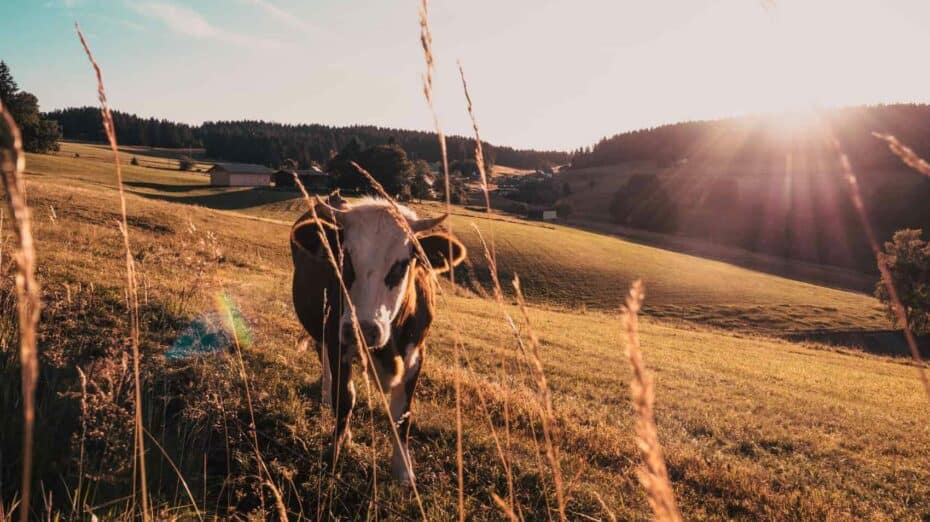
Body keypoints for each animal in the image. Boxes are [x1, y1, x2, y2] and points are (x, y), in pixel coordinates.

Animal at [290, 194, 466, 485]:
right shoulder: (338, 342)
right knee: (323, 360)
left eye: (404, 263)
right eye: (344, 258)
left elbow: (402, 415)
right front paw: (335, 454)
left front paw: (403, 470)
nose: (362, 328)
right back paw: (327, 397)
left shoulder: (417, 355)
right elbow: (345, 400)